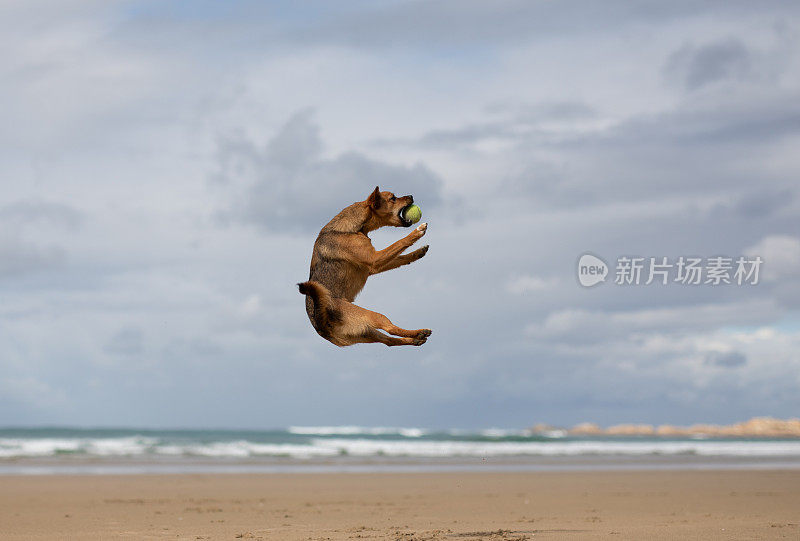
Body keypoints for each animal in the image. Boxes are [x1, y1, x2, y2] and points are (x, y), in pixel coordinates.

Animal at [298, 186, 432, 346]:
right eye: (393, 198)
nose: (411, 195)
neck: (358, 227)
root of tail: (322, 324)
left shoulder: (373, 266)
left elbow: (400, 257)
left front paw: (418, 253)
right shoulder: (375, 259)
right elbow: (400, 242)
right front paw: (417, 232)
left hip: (367, 332)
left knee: (389, 341)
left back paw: (415, 338)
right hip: (372, 316)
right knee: (390, 328)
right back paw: (419, 332)